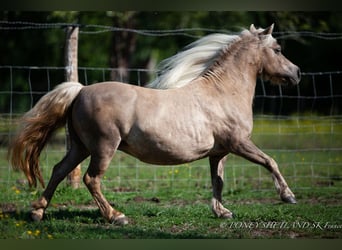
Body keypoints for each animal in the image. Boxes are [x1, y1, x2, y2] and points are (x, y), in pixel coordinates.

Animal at [8, 24, 300, 226]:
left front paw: (222, 212)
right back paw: (116, 216)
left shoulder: (219, 152)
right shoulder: (239, 143)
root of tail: (80, 90)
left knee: (59, 170)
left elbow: (218, 180)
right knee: (92, 179)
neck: (222, 93)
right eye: (278, 50)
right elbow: (270, 161)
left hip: (80, 147)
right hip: (103, 148)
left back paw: (37, 212)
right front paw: (288, 196)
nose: (297, 73)